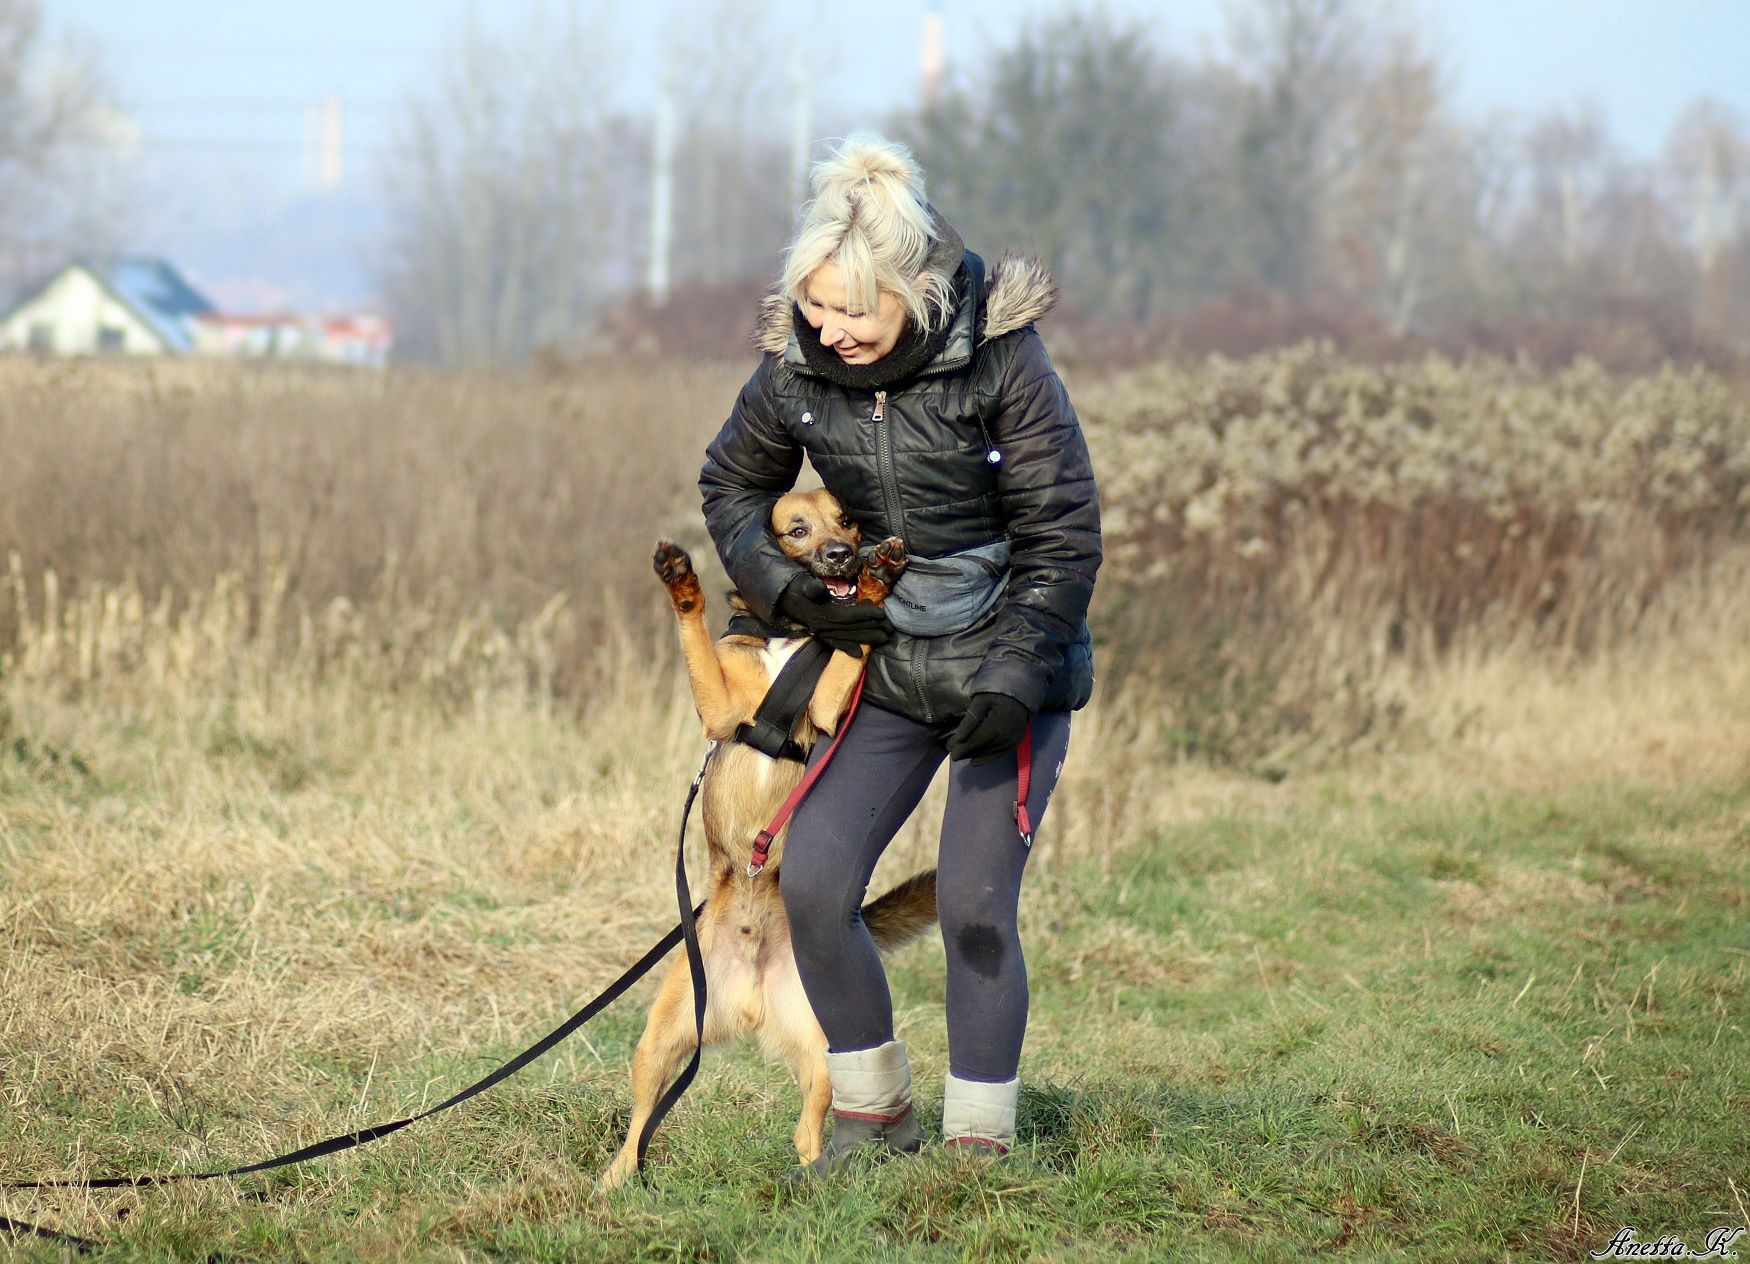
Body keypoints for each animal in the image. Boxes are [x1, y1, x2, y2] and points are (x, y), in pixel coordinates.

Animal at [595, 486, 938, 1183]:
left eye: (847, 519)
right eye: (797, 529)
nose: (843, 556)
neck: (789, 635)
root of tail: (749, 997)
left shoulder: (831, 711)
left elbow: (850, 651)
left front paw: (875, 583)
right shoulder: (722, 711)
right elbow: (695, 631)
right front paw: (681, 582)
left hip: (821, 1043)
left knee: (815, 1112)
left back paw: (815, 1171)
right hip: (663, 1036)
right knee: (641, 1118)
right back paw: (617, 1179)